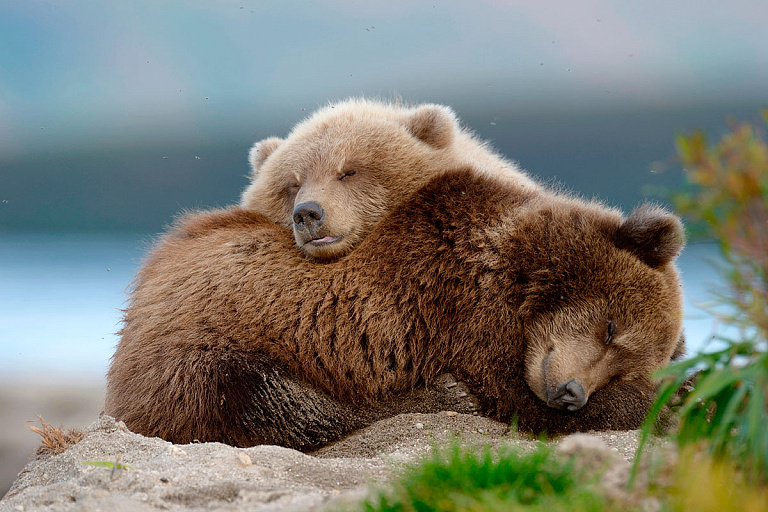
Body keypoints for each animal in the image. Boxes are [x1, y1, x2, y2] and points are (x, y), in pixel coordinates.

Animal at [105, 168, 688, 448]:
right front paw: (674, 402)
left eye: (621, 364)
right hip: (193, 350)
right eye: (611, 327)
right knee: (256, 399)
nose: (571, 393)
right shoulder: (462, 311)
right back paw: (436, 396)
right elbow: (514, 396)